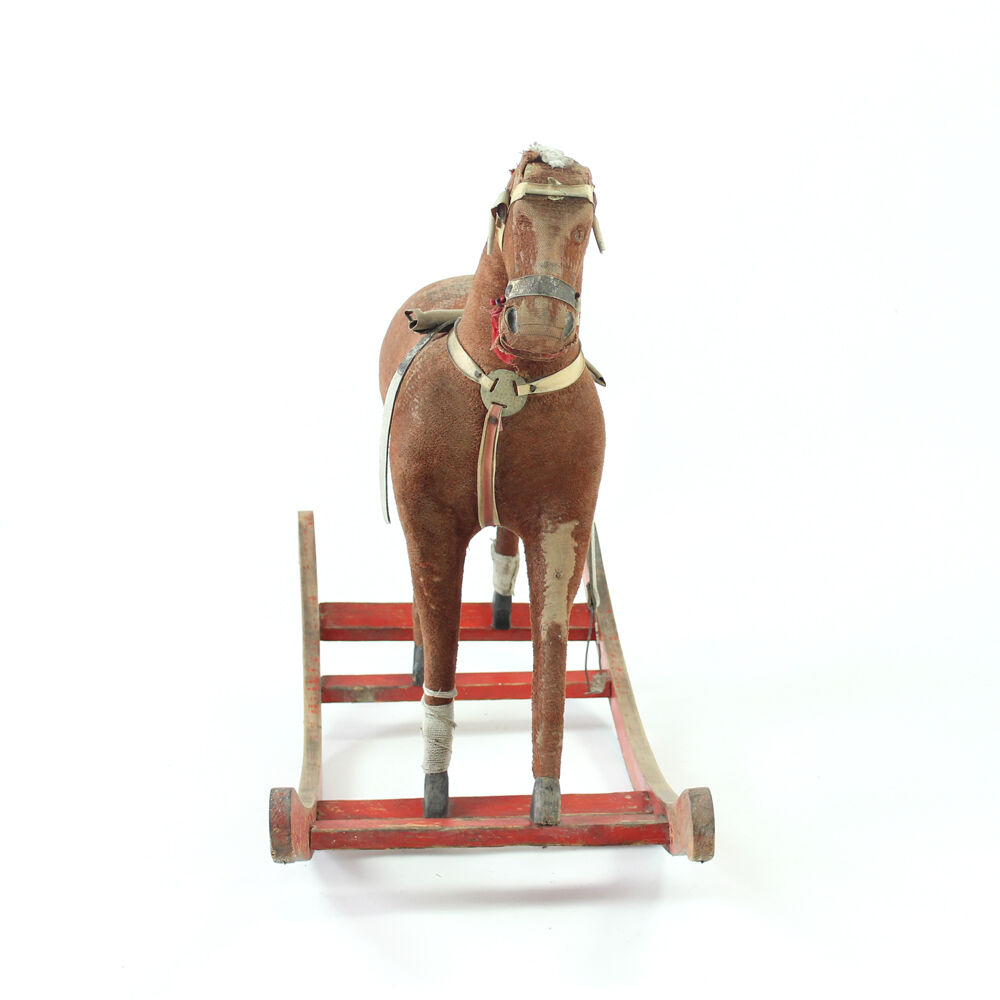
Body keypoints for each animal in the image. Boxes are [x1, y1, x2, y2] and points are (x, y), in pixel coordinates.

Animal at [378, 145, 606, 825]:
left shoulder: (562, 526)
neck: (509, 383)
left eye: (585, 222)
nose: (539, 323)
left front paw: (546, 801)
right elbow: (443, 649)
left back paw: (502, 610)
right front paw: (434, 794)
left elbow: (551, 662)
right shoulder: (431, 525)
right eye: (513, 213)